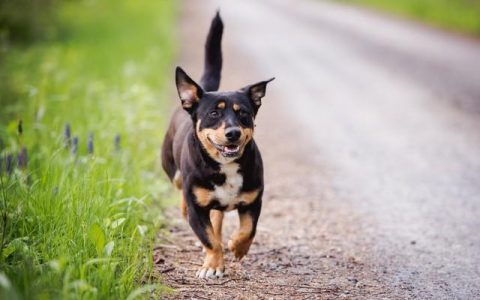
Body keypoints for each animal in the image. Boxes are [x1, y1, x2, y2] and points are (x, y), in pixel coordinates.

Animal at [161, 11, 274, 278]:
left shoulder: (253, 200)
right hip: (175, 174)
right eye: (214, 114)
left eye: (243, 113)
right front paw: (213, 265)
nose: (233, 133)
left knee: (219, 219)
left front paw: (237, 246)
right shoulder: (197, 209)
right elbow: (209, 239)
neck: (225, 166)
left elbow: (248, 230)